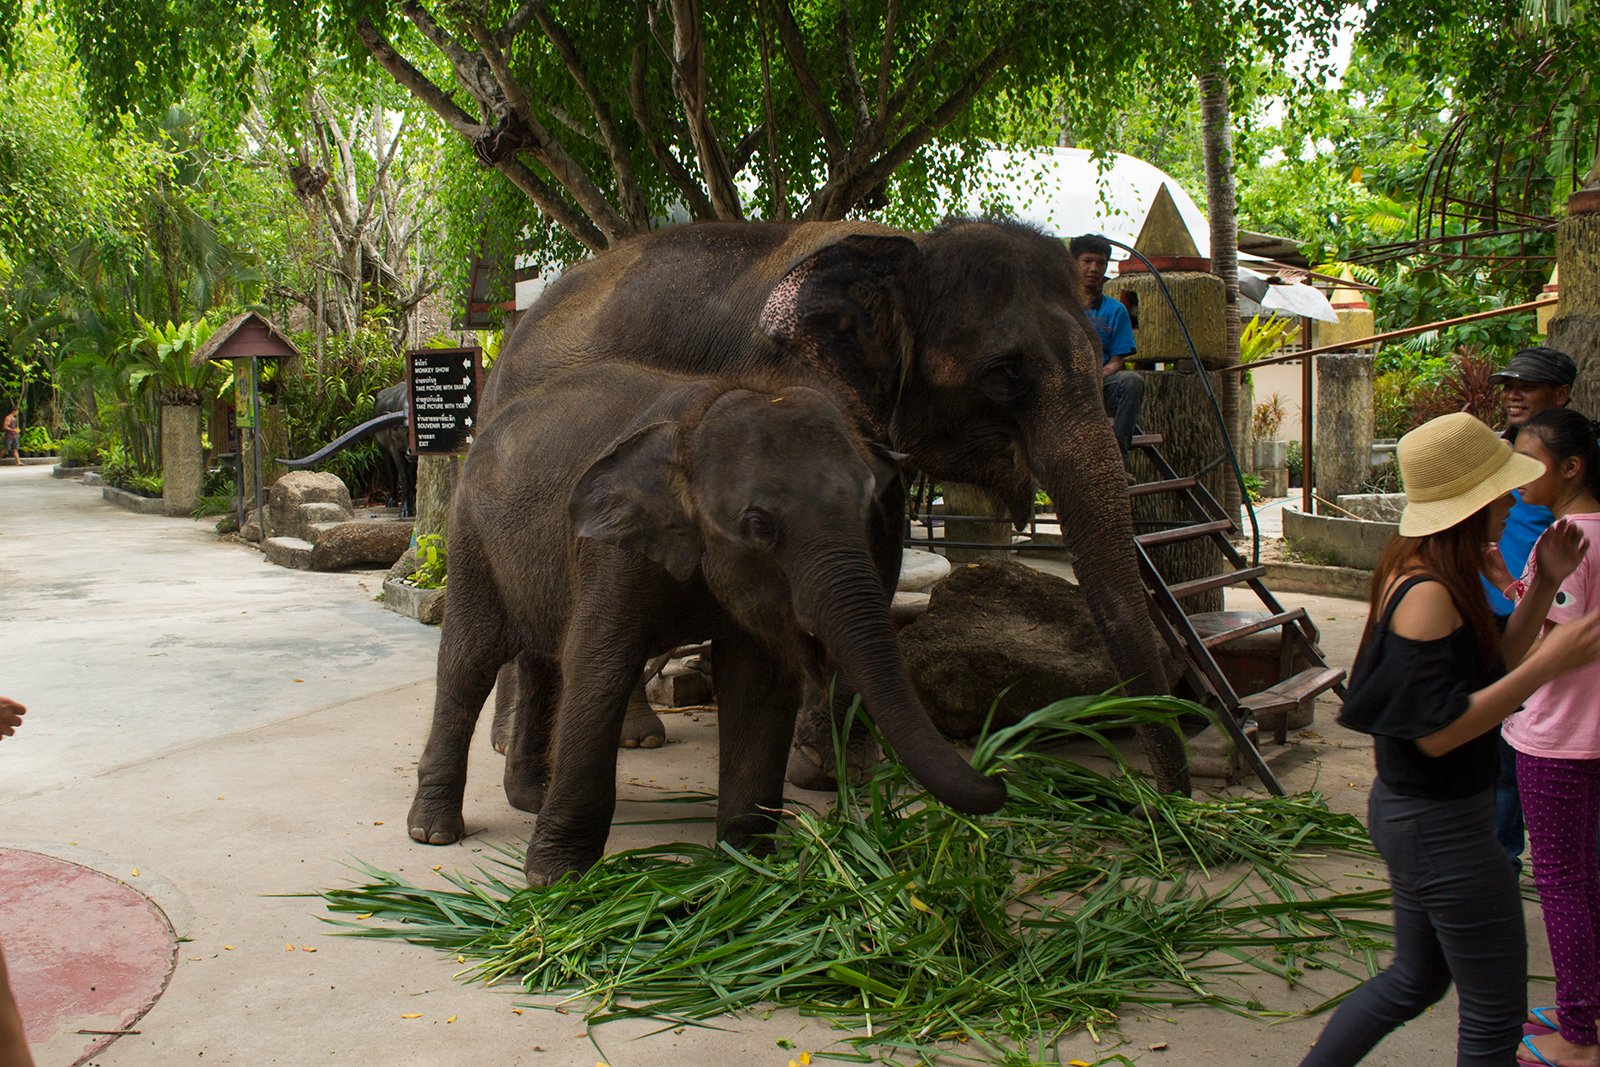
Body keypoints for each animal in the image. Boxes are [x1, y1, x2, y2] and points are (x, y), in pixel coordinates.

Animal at [406, 363, 1004, 883]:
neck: (700, 419)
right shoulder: (612, 552)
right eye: (759, 525)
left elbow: (758, 683)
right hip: (469, 536)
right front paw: (554, 880)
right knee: (469, 662)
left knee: (539, 660)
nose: (998, 776)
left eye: (869, 512)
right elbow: (599, 669)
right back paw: (433, 833)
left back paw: (529, 798)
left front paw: (748, 867)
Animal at [480, 219, 1184, 793]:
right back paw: (530, 743)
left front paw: (843, 767)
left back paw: (631, 736)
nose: (1169, 800)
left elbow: (878, 549)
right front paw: (821, 768)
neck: (908, 249)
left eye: (1100, 354)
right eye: (1006, 373)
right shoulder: (785, 383)